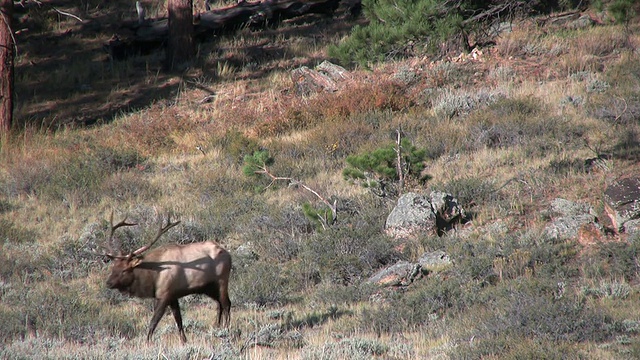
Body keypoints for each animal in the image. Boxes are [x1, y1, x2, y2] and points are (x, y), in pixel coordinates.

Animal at [100, 211, 230, 344]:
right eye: (113, 267)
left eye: (125, 270)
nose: (108, 283)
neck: (152, 277)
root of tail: (227, 253)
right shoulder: (173, 296)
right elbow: (179, 320)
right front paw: (184, 341)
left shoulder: (164, 295)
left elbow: (154, 321)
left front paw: (147, 342)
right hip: (208, 287)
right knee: (219, 304)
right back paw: (217, 327)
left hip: (222, 280)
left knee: (226, 304)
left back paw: (226, 330)